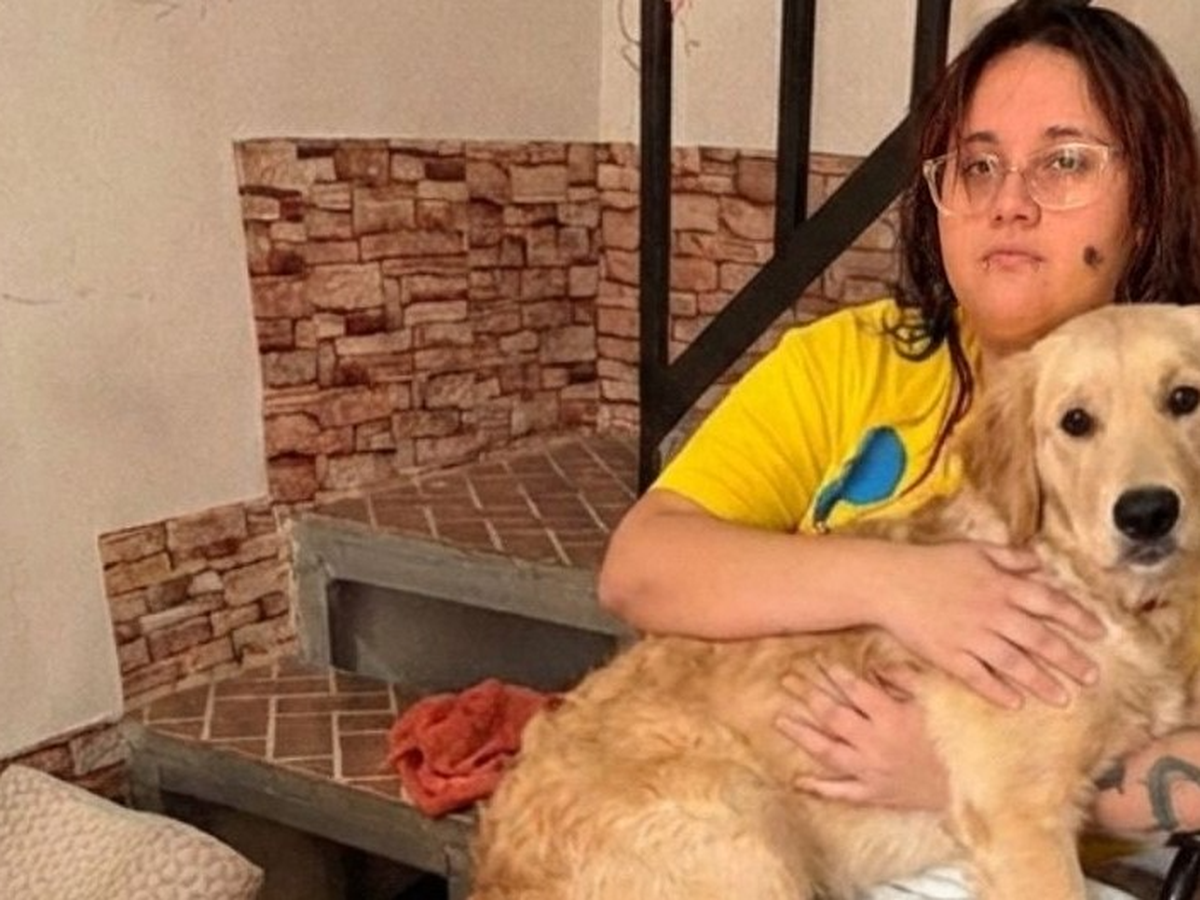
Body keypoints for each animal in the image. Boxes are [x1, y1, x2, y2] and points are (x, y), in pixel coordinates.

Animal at [469, 303, 1200, 900]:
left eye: (1184, 398)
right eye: (1076, 421)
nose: (1147, 514)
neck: (1116, 604)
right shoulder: (1024, 819)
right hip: (747, 839)